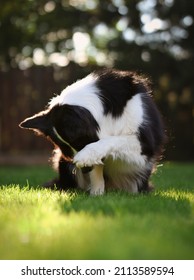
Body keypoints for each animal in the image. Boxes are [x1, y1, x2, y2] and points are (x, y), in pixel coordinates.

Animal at [19, 68, 165, 195]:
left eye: (80, 142)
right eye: (67, 152)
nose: (85, 170)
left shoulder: (144, 145)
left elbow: (115, 140)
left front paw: (85, 156)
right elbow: (98, 169)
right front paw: (97, 195)